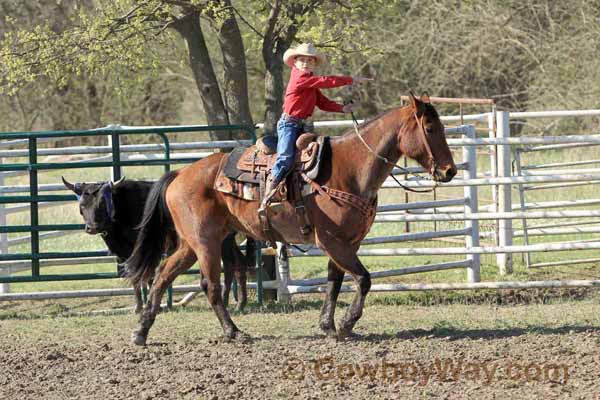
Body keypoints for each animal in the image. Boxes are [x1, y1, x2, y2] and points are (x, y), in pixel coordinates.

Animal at [126, 93, 454, 344]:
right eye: (429, 128)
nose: (449, 171)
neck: (350, 169)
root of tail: (180, 173)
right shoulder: (333, 241)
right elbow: (362, 279)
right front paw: (346, 323)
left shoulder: (346, 243)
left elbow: (334, 282)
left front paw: (328, 327)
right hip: (205, 243)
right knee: (210, 286)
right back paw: (234, 333)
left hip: (192, 244)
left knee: (163, 274)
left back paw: (141, 333)